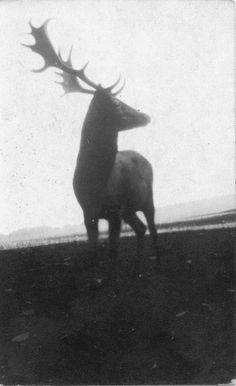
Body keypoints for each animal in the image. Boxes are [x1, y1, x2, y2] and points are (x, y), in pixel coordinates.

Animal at [24, 19, 161, 278]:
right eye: (117, 103)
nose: (146, 116)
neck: (97, 182)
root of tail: (143, 157)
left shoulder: (115, 211)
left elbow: (113, 252)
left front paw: (113, 279)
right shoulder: (89, 213)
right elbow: (93, 255)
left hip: (148, 197)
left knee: (152, 227)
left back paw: (155, 261)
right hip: (130, 209)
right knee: (141, 228)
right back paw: (137, 265)